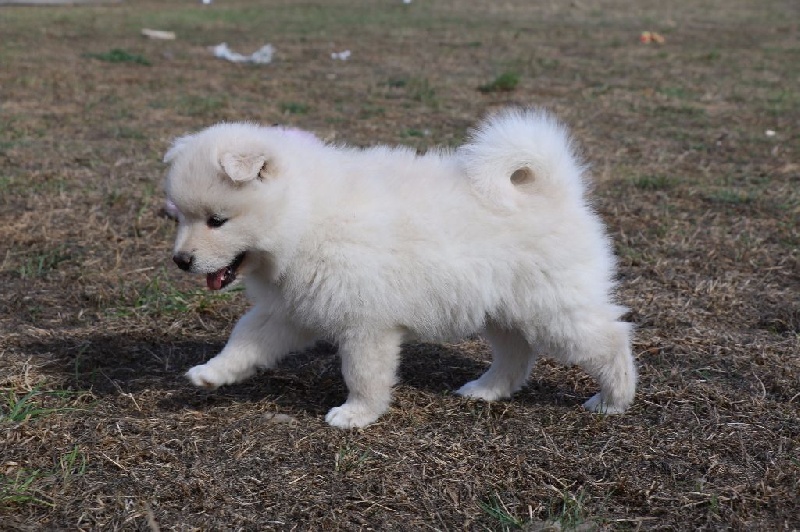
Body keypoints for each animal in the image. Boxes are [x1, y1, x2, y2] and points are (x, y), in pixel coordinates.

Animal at [163, 109, 636, 428]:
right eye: (178, 217)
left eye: (217, 220)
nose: (181, 260)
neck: (305, 215)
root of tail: (555, 190)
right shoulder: (287, 309)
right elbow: (244, 340)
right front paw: (212, 373)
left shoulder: (365, 323)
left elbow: (363, 373)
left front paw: (355, 414)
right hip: (502, 307)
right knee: (516, 354)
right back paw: (485, 389)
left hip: (553, 306)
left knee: (609, 338)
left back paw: (613, 399)